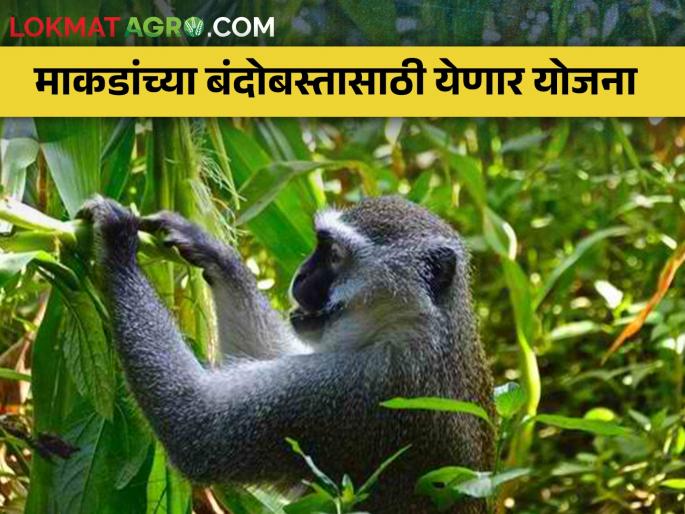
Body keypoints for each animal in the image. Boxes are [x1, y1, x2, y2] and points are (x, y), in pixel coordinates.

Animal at [77, 195, 495, 514]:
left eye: (334, 255)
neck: (415, 328)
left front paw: (119, 246)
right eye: (319, 247)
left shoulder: (361, 391)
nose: (301, 274)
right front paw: (214, 251)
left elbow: (199, 430)